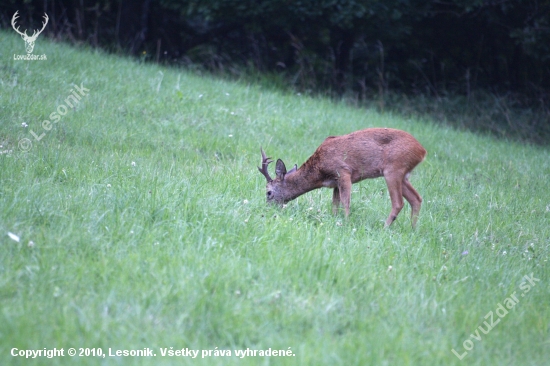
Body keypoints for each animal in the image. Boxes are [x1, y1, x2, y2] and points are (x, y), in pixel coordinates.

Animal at [258, 128, 426, 226]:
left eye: (269, 192)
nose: (267, 211)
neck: (319, 170)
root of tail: (422, 151)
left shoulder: (343, 171)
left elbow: (346, 202)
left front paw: (345, 222)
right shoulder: (335, 183)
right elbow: (335, 204)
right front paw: (335, 220)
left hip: (393, 169)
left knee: (398, 202)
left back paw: (385, 228)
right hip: (403, 175)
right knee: (416, 198)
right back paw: (413, 229)